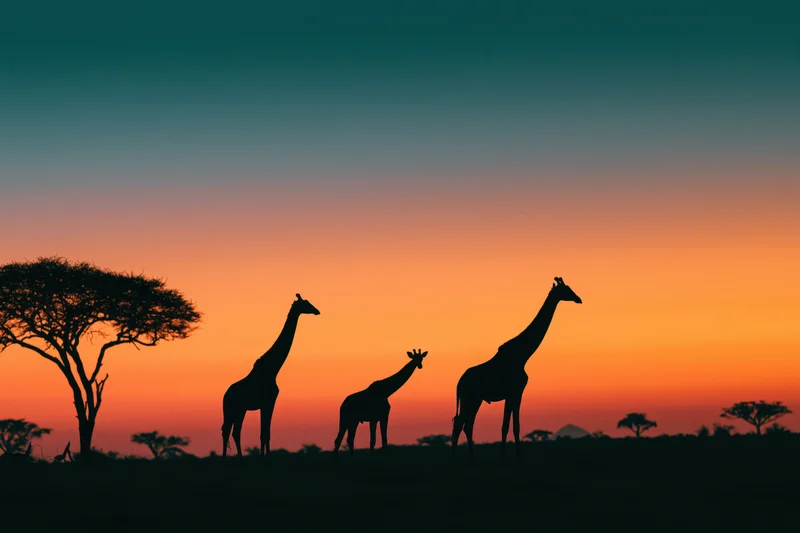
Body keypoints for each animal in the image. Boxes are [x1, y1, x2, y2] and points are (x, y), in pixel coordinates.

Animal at [221, 293, 320, 458]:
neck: (273, 370)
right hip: (231, 409)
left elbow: (265, 434)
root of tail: (225, 395)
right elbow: (265, 434)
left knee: (234, 432)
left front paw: (264, 457)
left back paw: (239, 459)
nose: (317, 311)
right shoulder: (269, 402)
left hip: (240, 410)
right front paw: (266, 458)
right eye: (305, 304)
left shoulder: (266, 403)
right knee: (226, 430)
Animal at [451, 277, 582, 460]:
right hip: (470, 398)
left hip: (474, 399)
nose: (579, 299)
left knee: (466, 425)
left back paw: (471, 458)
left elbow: (509, 425)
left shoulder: (512, 394)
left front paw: (506, 456)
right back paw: (454, 458)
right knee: (461, 424)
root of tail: (459, 383)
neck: (523, 355)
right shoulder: (516, 391)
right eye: (566, 289)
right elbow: (513, 426)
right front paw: (514, 457)